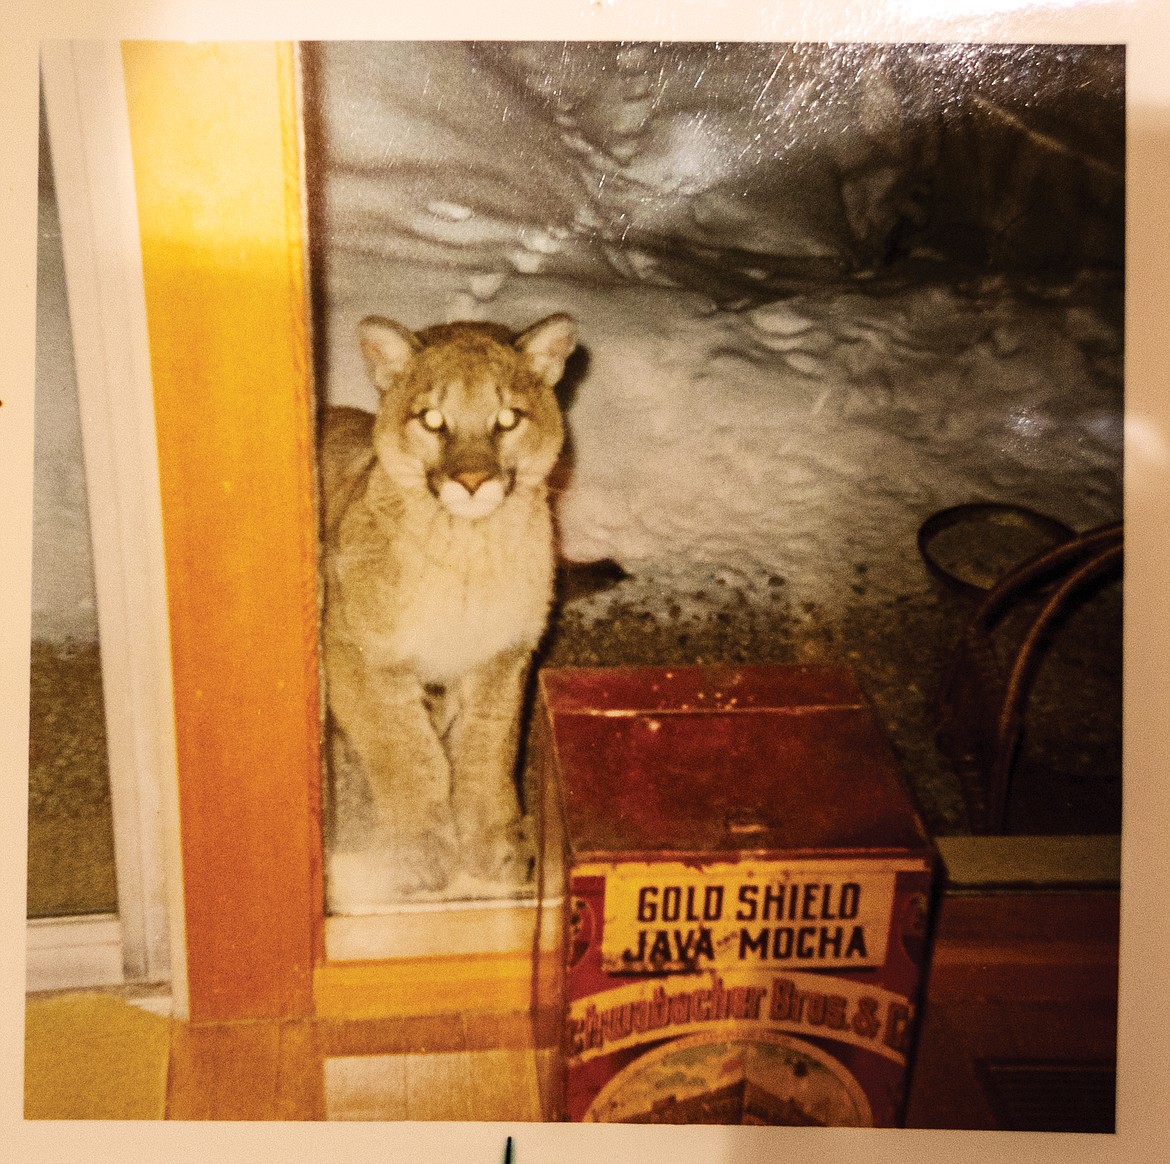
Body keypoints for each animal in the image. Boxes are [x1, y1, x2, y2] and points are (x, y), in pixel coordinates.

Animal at [320, 311, 575, 903]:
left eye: (507, 419)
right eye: (432, 419)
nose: (473, 481)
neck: (468, 553)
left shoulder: (503, 659)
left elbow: (486, 752)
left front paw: (491, 844)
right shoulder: (360, 654)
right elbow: (409, 754)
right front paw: (419, 854)